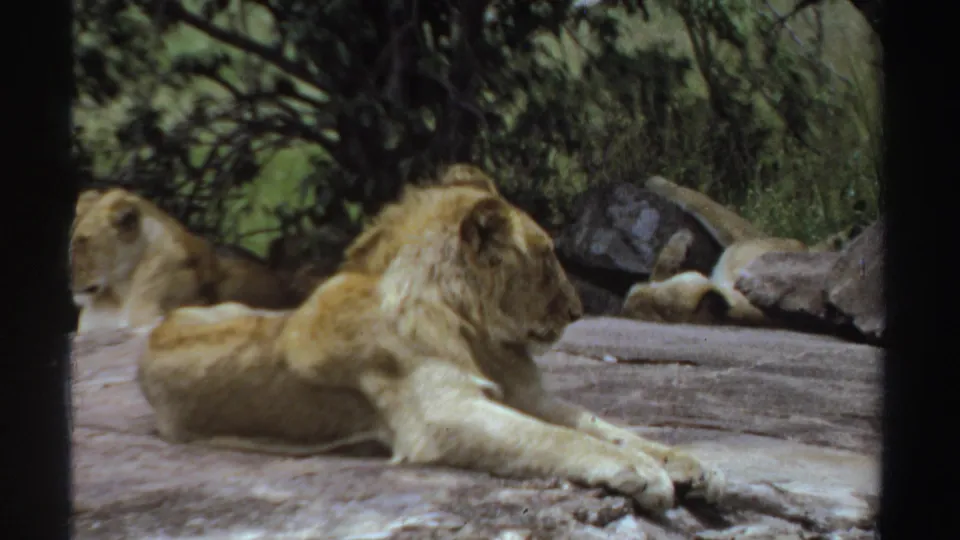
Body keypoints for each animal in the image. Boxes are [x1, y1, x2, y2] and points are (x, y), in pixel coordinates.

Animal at [137, 173, 725, 514]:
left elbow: (604, 426)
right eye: (544, 256)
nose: (578, 311)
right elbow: (559, 440)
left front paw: (688, 463)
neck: (472, 328)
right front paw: (642, 474)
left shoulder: (526, 396)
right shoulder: (443, 414)